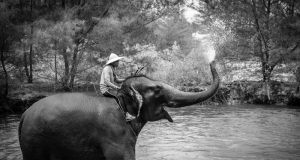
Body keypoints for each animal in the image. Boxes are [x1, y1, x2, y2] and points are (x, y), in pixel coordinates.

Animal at [18, 60, 220, 159]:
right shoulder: (114, 134)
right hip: (34, 141)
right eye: (156, 89)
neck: (122, 99)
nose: (212, 61)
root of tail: (23, 115)